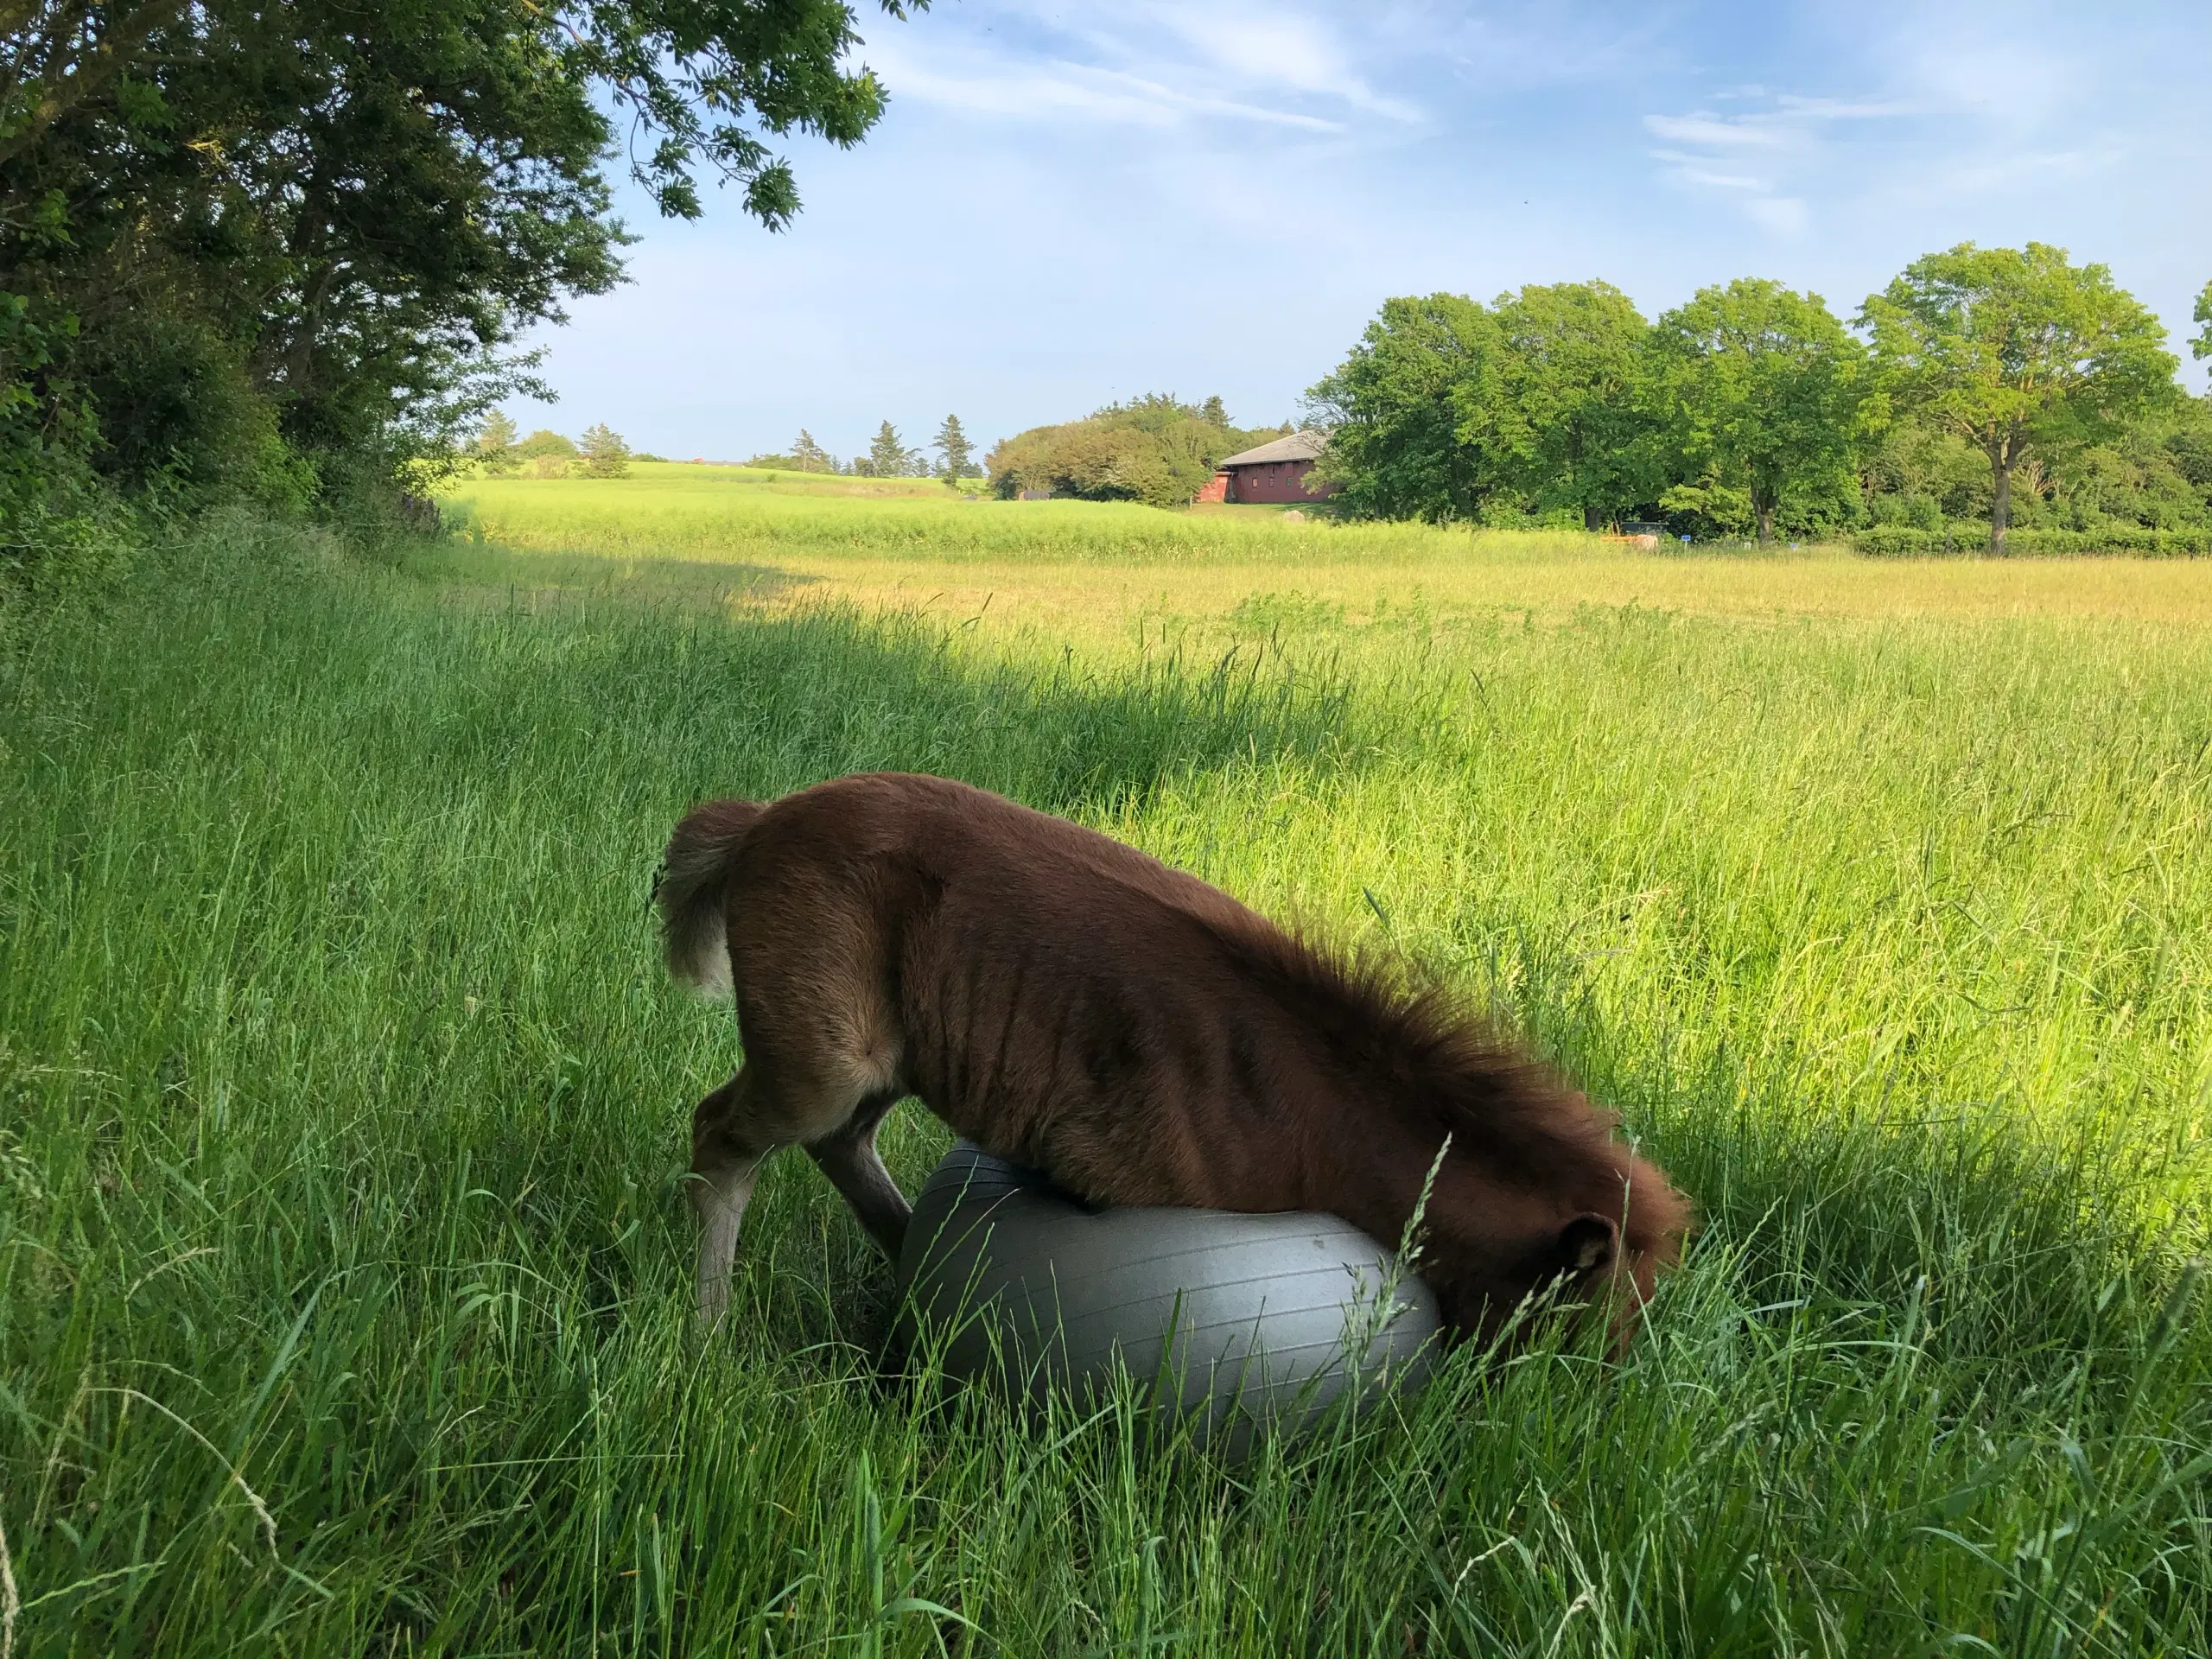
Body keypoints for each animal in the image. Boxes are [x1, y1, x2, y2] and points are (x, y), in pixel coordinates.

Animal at [654, 779, 1689, 1353]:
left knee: (841, 1145)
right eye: (1592, 1318)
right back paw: (708, 1335)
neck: (1317, 1110)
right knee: (725, 1137)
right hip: (822, 1060)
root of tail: (759, 822)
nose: (1574, 1395)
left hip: (888, 1062)